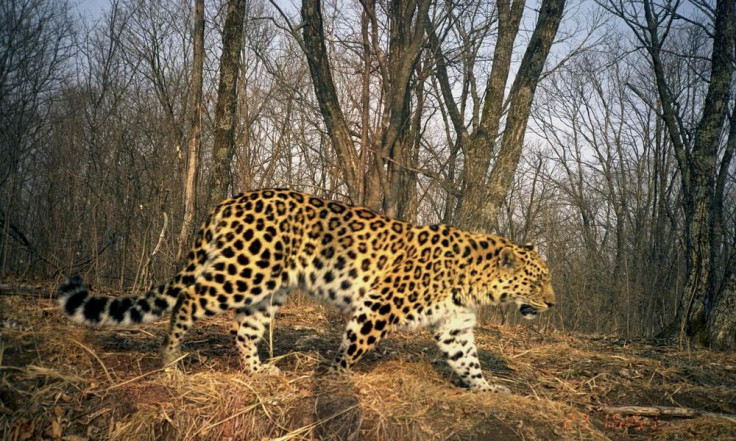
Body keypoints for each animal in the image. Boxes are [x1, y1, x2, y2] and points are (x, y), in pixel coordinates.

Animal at [57, 188, 556, 392]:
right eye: (537, 279)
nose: (552, 303)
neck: (476, 284)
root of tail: (229, 200)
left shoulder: (454, 326)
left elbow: (467, 361)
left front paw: (489, 390)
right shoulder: (378, 305)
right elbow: (353, 347)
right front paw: (333, 379)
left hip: (266, 290)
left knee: (244, 330)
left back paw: (259, 372)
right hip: (245, 272)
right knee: (188, 299)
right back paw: (171, 364)